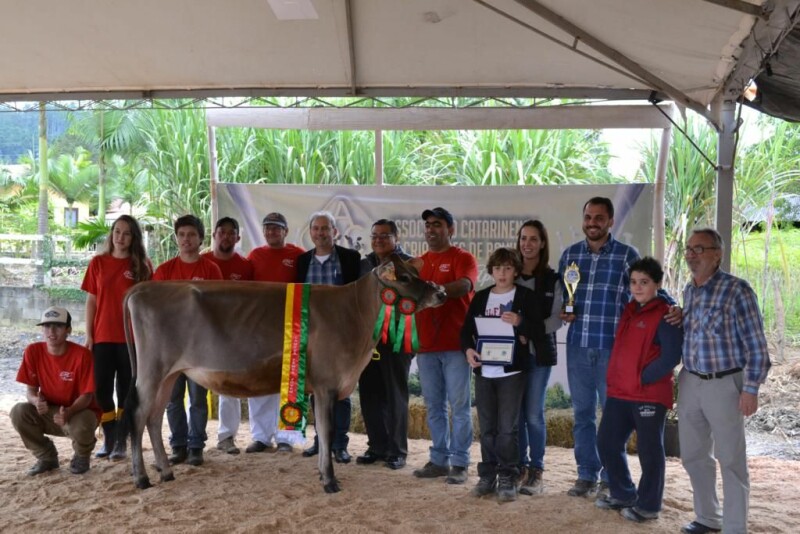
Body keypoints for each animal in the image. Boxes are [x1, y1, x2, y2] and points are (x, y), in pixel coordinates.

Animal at [124, 254, 446, 494]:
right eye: (403, 278)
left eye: (413, 272)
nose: (441, 292)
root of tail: (142, 288)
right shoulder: (328, 384)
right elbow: (327, 432)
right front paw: (330, 481)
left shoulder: (321, 386)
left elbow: (323, 434)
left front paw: (322, 474)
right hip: (152, 371)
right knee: (139, 416)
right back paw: (142, 478)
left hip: (168, 375)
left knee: (154, 418)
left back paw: (166, 472)